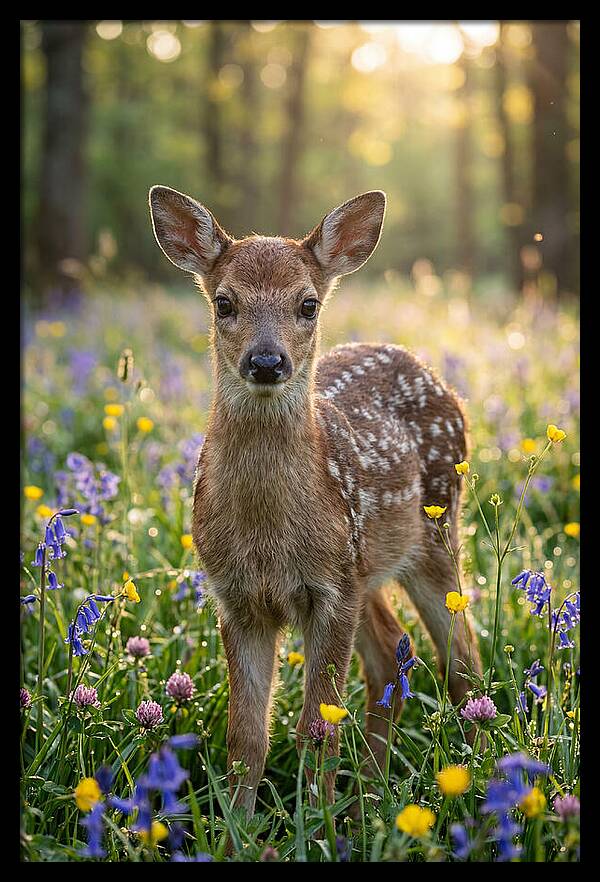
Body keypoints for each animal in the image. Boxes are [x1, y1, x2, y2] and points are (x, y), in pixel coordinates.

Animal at [149, 185, 482, 818]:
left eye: (307, 305)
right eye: (224, 303)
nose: (266, 361)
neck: (267, 536)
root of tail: (433, 374)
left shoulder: (329, 589)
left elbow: (316, 727)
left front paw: (316, 824)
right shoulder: (237, 596)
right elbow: (246, 735)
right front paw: (238, 827)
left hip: (433, 533)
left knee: (463, 662)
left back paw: (475, 786)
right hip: (367, 566)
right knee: (390, 655)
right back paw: (370, 798)